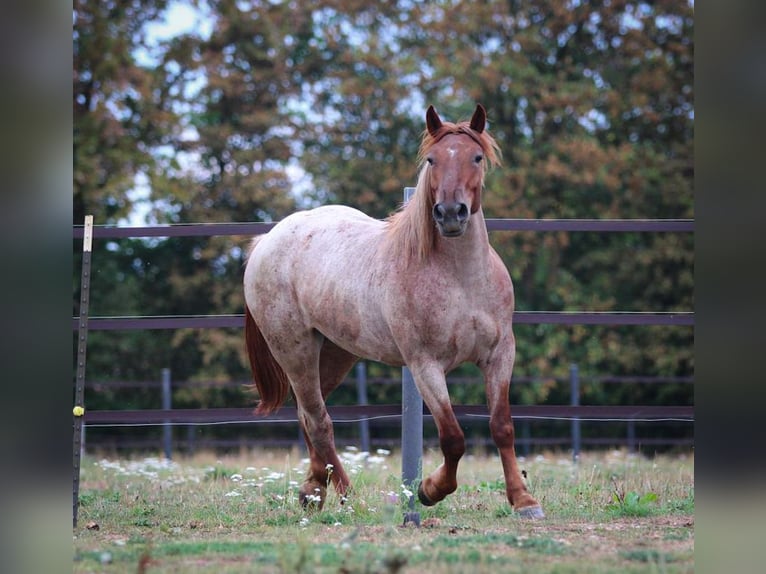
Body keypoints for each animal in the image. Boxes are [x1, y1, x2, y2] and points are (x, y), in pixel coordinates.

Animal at [243, 104, 544, 519]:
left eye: (477, 157)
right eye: (432, 159)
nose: (451, 213)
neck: (462, 279)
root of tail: (266, 240)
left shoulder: (500, 355)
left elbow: (502, 427)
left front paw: (524, 500)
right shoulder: (425, 365)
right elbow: (453, 438)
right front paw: (429, 490)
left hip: (334, 354)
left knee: (308, 416)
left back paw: (313, 492)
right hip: (295, 351)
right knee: (319, 422)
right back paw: (348, 497)